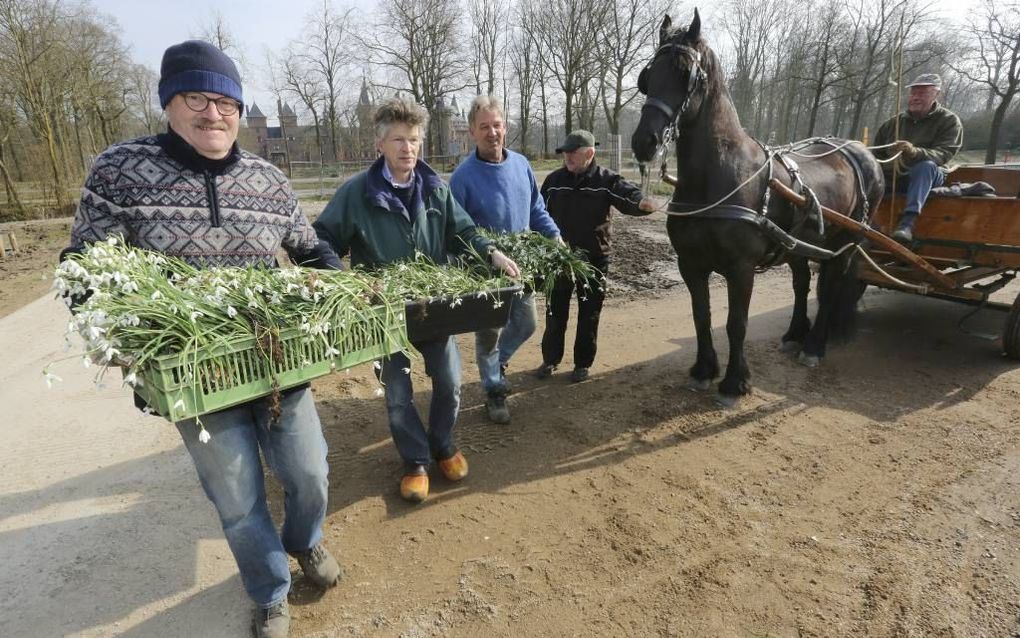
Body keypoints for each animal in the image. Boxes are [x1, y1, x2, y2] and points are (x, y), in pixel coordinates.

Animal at [628, 9, 885, 406]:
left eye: (686, 74)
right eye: (647, 76)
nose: (645, 141)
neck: (718, 176)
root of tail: (862, 151)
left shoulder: (741, 267)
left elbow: (737, 323)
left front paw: (735, 382)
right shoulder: (690, 263)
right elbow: (701, 316)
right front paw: (703, 370)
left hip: (847, 243)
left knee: (831, 287)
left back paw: (814, 345)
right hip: (800, 244)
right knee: (801, 283)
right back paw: (795, 334)